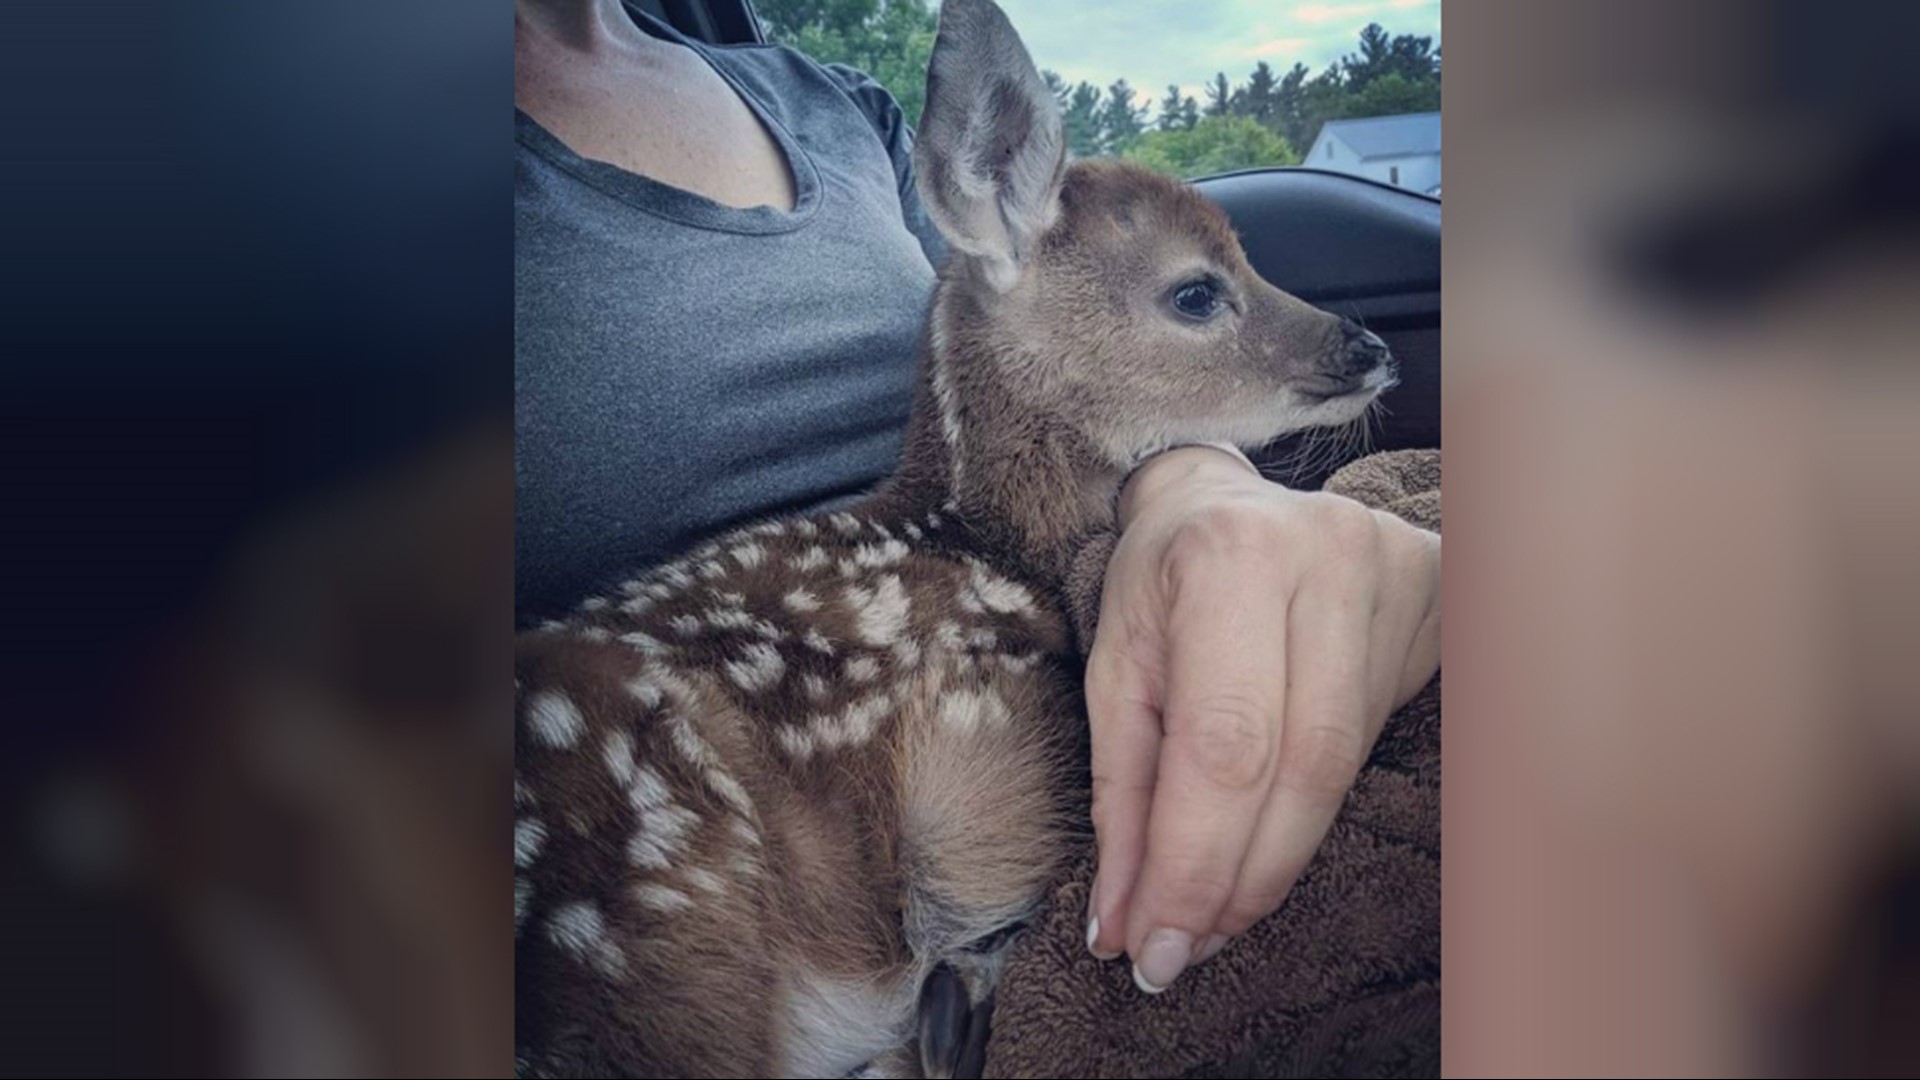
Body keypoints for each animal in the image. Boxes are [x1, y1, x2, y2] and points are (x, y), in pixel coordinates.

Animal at [512, 1, 1397, 1076]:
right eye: (1196, 292)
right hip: (667, 895)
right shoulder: (984, 748)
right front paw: (959, 993)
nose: (1370, 347)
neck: (986, 544)